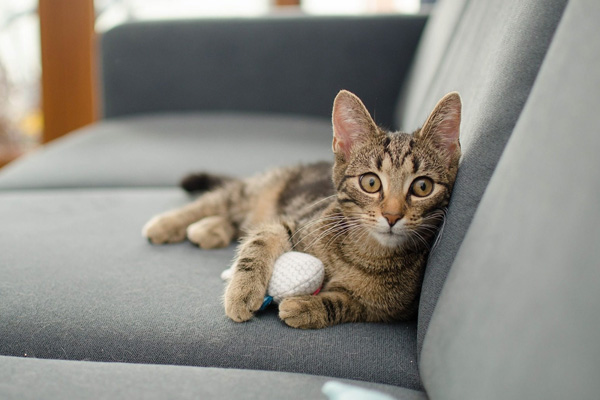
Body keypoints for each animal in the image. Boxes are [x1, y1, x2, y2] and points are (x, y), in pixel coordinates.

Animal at [143, 90, 462, 328]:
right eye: (370, 182)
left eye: (422, 187)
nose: (392, 216)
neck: (367, 253)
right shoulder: (294, 222)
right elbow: (258, 243)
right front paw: (242, 292)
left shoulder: (388, 310)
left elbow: (346, 304)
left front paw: (306, 307)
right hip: (257, 190)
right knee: (219, 201)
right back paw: (166, 224)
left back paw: (210, 229)